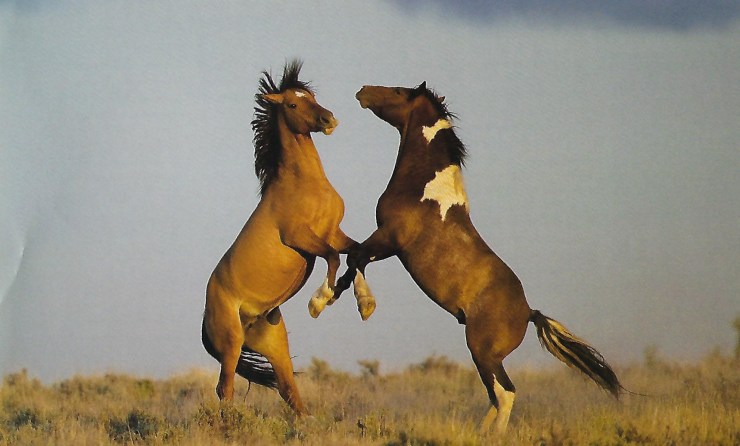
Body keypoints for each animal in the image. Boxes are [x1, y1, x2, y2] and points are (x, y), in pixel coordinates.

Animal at [201, 60, 375, 415]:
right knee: (225, 389)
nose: (329, 120)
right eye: (293, 105)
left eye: (311, 97)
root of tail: (204, 315)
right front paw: (320, 300)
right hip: (231, 344)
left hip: (274, 345)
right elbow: (334, 258)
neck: (302, 183)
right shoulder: (301, 238)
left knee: (289, 391)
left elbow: (357, 254)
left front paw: (364, 304)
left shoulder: (334, 232)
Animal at [334, 82, 622, 434]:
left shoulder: (390, 239)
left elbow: (356, 258)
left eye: (401, 92)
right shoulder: (384, 241)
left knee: (505, 392)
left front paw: (364, 305)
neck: (426, 190)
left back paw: (495, 435)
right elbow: (351, 262)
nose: (363, 91)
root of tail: (529, 312)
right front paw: (324, 300)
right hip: (485, 356)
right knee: (494, 396)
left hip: (483, 352)